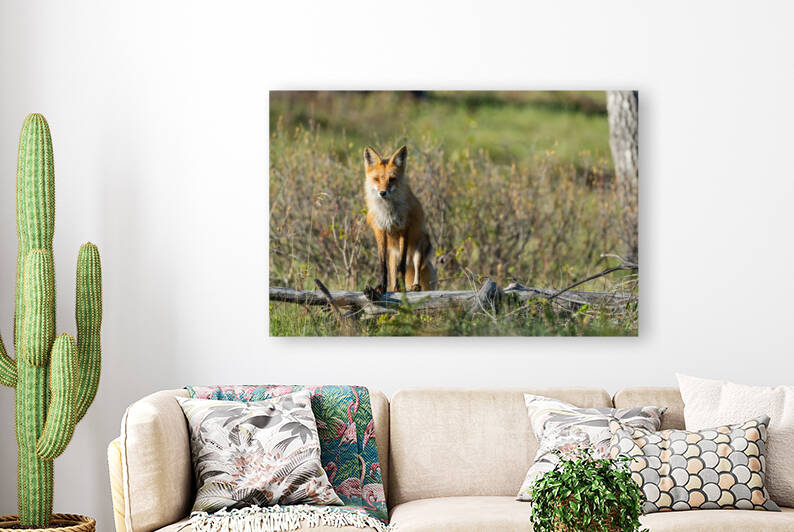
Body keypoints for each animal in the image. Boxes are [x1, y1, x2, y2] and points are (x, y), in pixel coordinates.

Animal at [363, 145, 437, 295]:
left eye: (392, 179)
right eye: (376, 179)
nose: (382, 193)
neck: (388, 212)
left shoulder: (404, 229)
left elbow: (402, 266)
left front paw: (403, 288)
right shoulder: (380, 230)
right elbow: (382, 266)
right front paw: (381, 287)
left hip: (419, 250)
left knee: (415, 269)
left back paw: (414, 286)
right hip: (393, 256)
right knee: (393, 273)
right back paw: (395, 288)